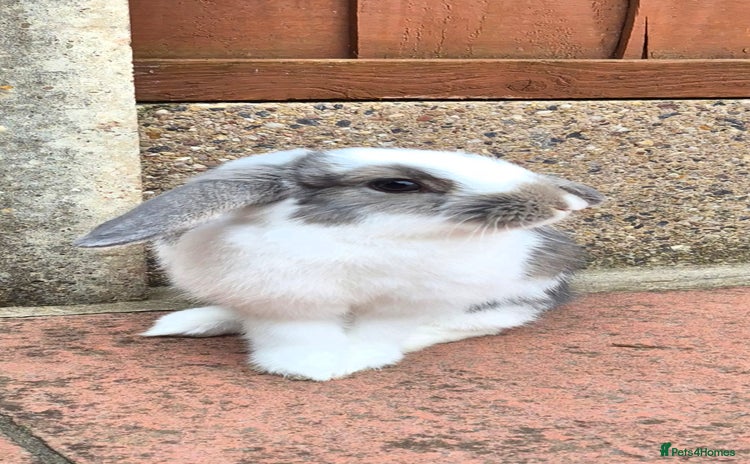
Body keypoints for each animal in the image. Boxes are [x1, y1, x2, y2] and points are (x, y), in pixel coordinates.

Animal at [76, 147, 604, 381]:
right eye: (396, 185)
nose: (562, 202)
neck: (366, 242)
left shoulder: (402, 305)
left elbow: (379, 334)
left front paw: (353, 362)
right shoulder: (284, 303)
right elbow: (292, 337)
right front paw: (310, 368)